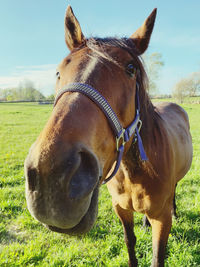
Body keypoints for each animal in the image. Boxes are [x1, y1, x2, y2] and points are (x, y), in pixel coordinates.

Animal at [24, 6, 193, 267]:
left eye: (131, 69)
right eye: (59, 71)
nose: (51, 176)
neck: (135, 173)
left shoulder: (162, 219)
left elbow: (157, 255)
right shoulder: (120, 209)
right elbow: (130, 242)